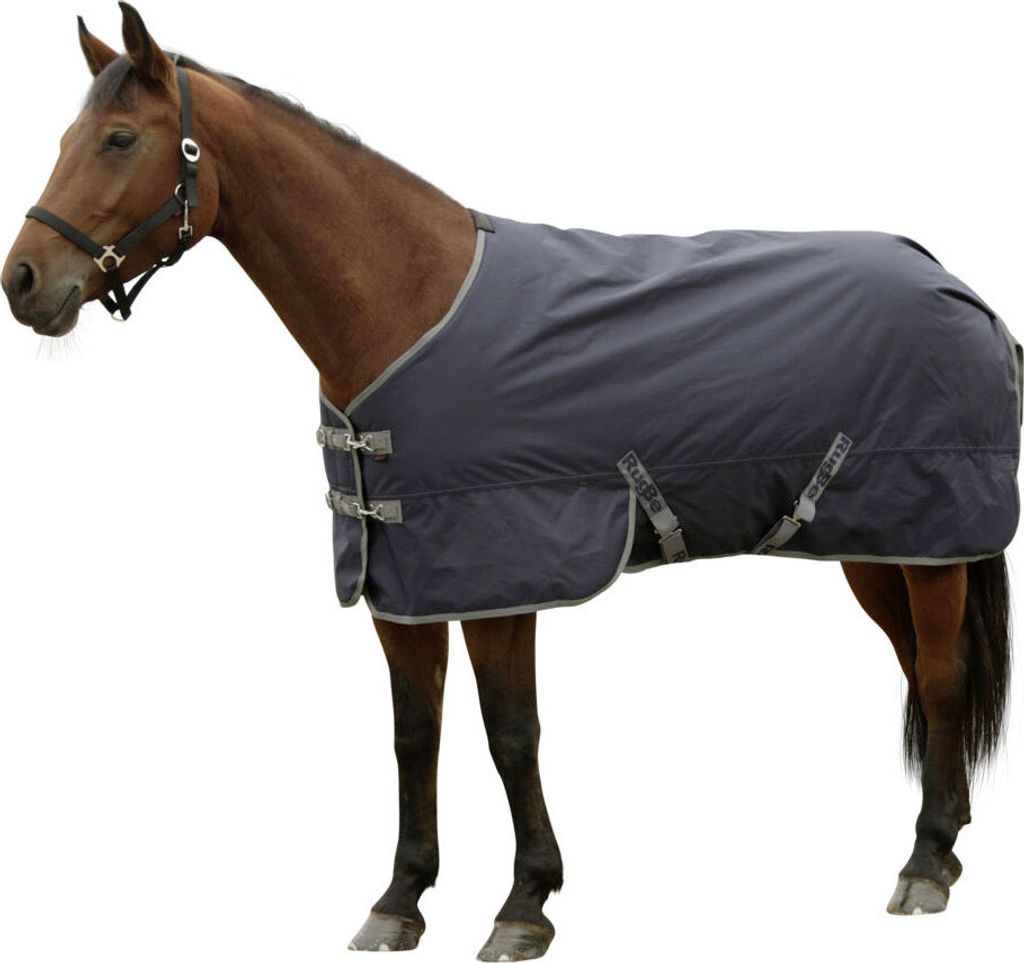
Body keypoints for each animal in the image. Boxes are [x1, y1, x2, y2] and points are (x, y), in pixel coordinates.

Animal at [1, 5, 1016, 959]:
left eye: (119, 140)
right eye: (61, 140)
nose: (23, 280)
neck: (407, 300)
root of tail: (956, 285)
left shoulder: (501, 572)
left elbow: (509, 733)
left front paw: (525, 902)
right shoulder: (404, 582)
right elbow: (416, 733)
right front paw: (400, 898)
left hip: (929, 541)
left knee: (939, 672)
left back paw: (927, 861)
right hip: (882, 545)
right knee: (925, 672)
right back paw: (949, 838)